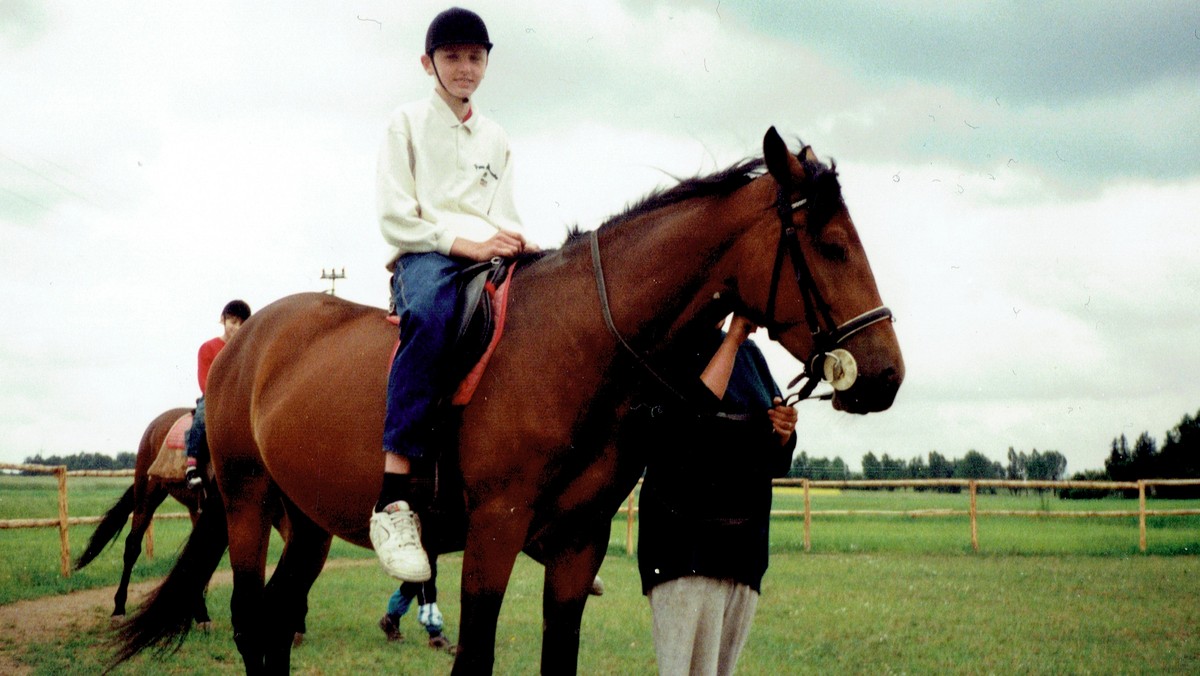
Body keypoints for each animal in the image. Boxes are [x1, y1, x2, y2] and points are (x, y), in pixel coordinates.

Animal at [114, 129, 902, 672]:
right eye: (831, 246)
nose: (886, 374)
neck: (575, 340)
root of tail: (248, 345)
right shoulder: (494, 534)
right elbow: (475, 659)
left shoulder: (578, 544)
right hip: (248, 502)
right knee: (252, 621)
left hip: (306, 520)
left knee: (278, 623)